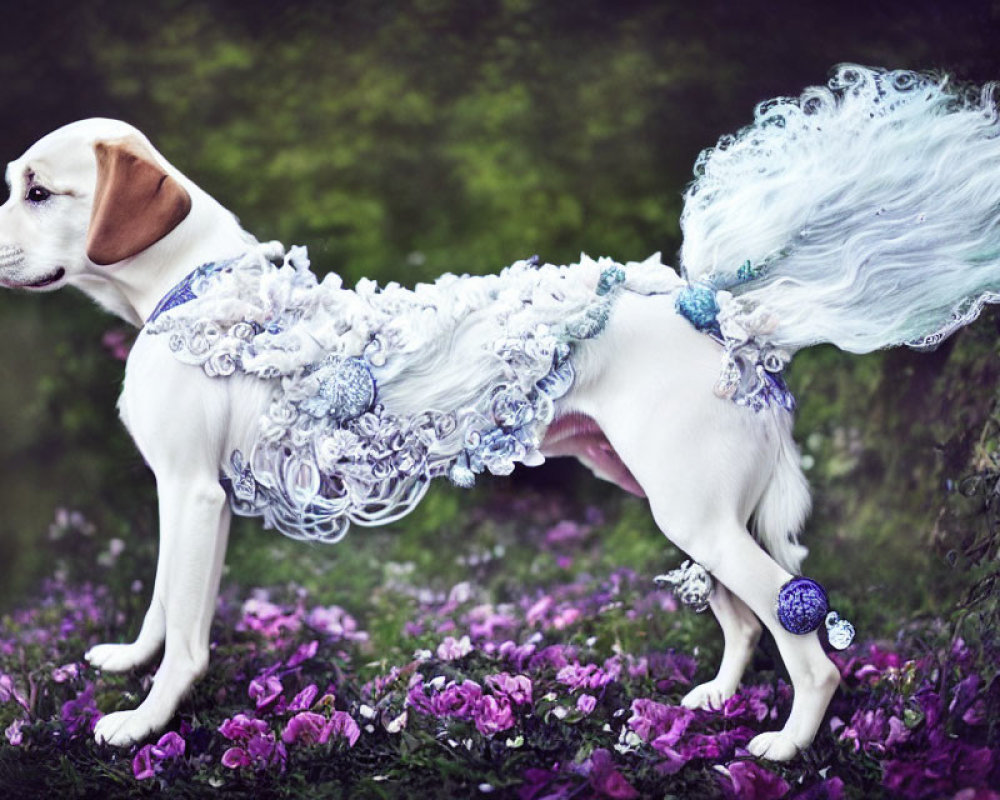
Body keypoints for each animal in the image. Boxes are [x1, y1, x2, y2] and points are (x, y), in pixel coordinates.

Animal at [1, 65, 1000, 760]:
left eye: (40, 191)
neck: (192, 289)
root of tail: (718, 311)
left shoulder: (194, 494)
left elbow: (187, 633)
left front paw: (141, 722)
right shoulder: (185, 496)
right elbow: (165, 608)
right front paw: (128, 669)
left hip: (698, 515)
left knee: (806, 639)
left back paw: (788, 745)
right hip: (693, 511)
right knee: (752, 617)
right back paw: (717, 700)